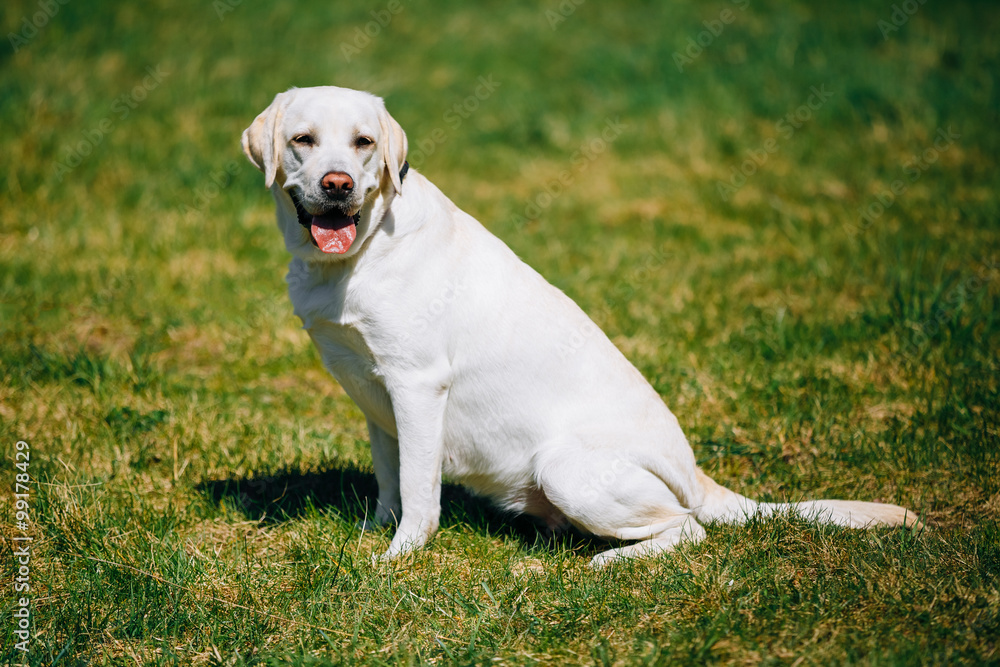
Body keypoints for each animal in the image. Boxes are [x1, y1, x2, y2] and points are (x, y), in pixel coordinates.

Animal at [242, 85, 916, 568]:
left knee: (688, 530)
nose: (338, 187)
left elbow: (419, 490)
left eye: (362, 143)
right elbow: (390, 479)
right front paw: (373, 534)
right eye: (303, 140)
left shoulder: (416, 387)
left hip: (565, 468)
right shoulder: (373, 393)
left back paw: (610, 564)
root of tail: (697, 476)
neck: (350, 259)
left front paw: (397, 560)